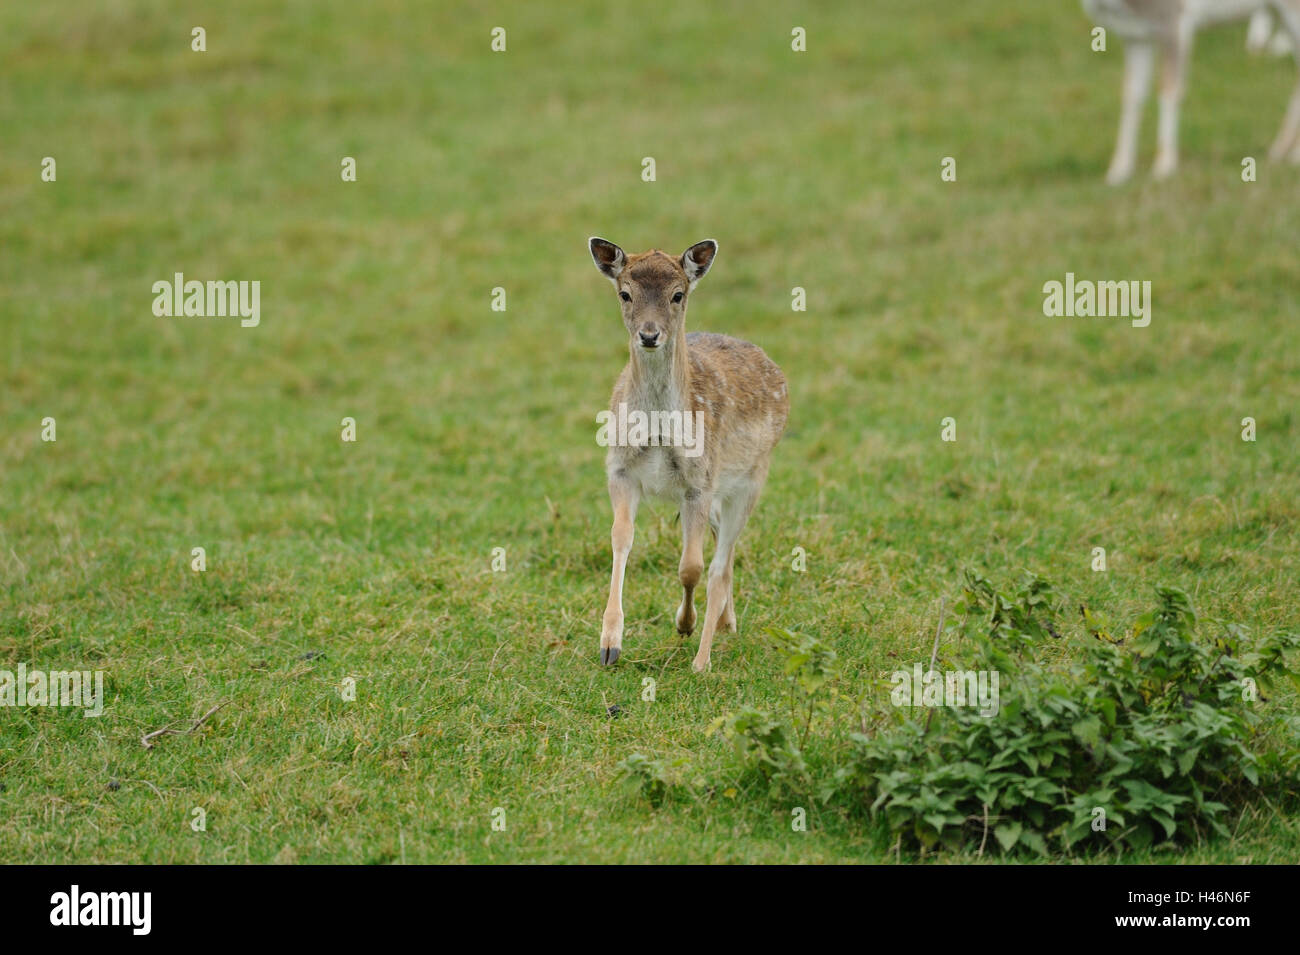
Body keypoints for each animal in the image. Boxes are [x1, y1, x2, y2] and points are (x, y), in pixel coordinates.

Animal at [592, 237, 790, 670]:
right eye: (625, 294)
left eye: (677, 295)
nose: (650, 335)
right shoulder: (619, 469)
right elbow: (620, 538)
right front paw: (610, 643)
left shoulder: (699, 481)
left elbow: (691, 567)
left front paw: (685, 623)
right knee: (722, 550)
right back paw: (727, 622)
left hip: (752, 477)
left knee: (721, 561)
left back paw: (707, 651)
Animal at [1081, 1, 1300, 183]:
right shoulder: (1135, 37)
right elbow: (1132, 96)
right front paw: (1118, 172)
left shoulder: (1175, 22)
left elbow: (1169, 91)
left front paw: (1164, 167)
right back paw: (1278, 151)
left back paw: (1293, 156)